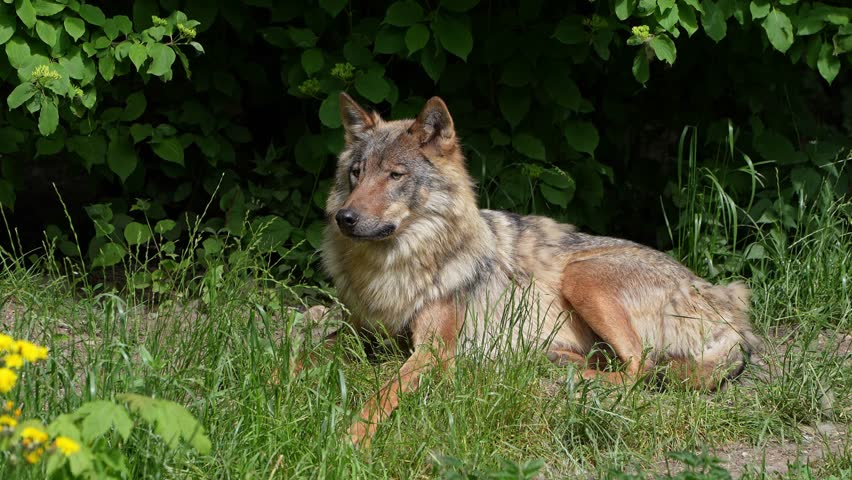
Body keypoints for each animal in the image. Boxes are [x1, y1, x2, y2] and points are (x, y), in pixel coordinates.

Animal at [319, 92, 760, 448]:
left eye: (396, 175)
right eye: (357, 173)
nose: (345, 218)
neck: (391, 270)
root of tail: (726, 305)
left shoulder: (434, 352)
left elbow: (383, 393)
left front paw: (349, 436)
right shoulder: (358, 331)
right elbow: (310, 349)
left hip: (582, 277)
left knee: (641, 369)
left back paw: (568, 377)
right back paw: (557, 361)